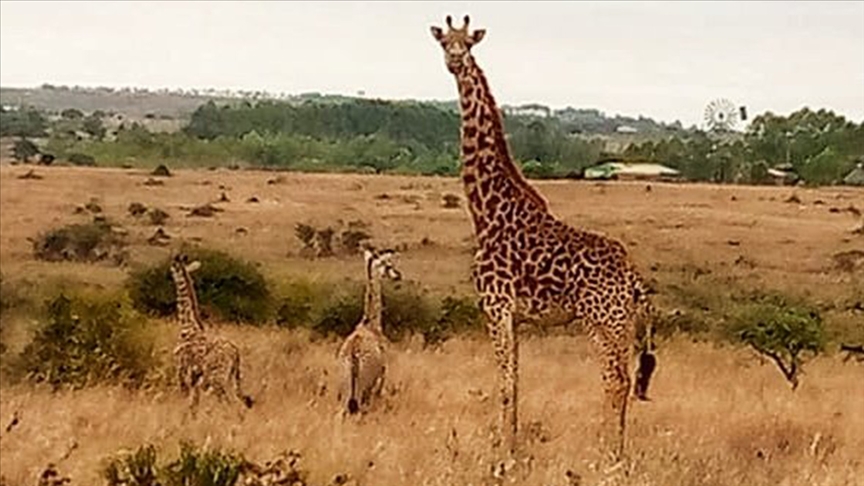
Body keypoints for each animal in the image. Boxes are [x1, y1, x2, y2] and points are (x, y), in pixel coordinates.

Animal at [340, 247, 404, 414]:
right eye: (388, 264)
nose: (398, 275)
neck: (371, 323)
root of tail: (353, 355)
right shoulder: (381, 377)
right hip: (363, 388)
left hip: (346, 390)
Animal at [428, 14, 660, 470]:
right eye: (445, 42)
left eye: (468, 43)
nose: (455, 61)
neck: (486, 212)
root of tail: (632, 277)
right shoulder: (514, 315)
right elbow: (516, 381)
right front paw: (513, 451)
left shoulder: (496, 305)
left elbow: (505, 383)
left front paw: (502, 459)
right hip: (621, 323)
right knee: (624, 380)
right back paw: (618, 453)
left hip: (601, 321)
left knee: (615, 380)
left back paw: (606, 458)